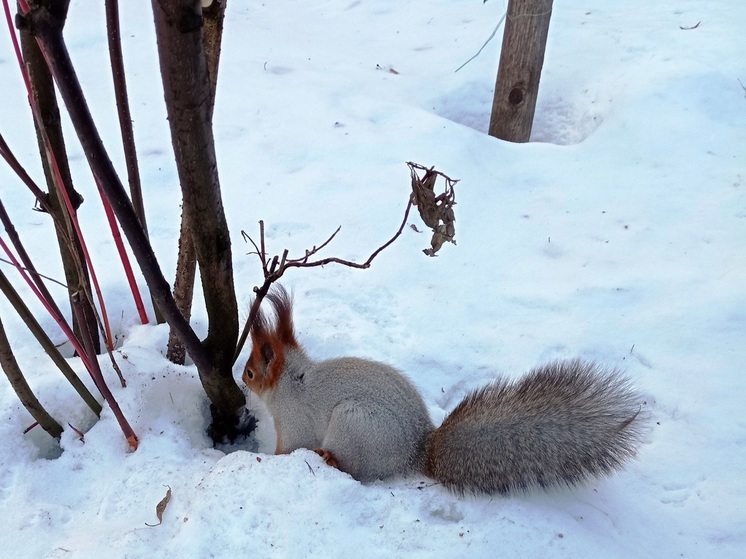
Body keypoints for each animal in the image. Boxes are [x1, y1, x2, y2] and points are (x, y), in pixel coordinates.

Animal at [241, 286, 644, 496]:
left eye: (249, 371)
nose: (243, 384)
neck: (292, 381)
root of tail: (418, 452)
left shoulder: (295, 424)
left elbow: (288, 448)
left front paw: (270, 460)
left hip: (352, 426)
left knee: (354, 471)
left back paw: (329, 459)